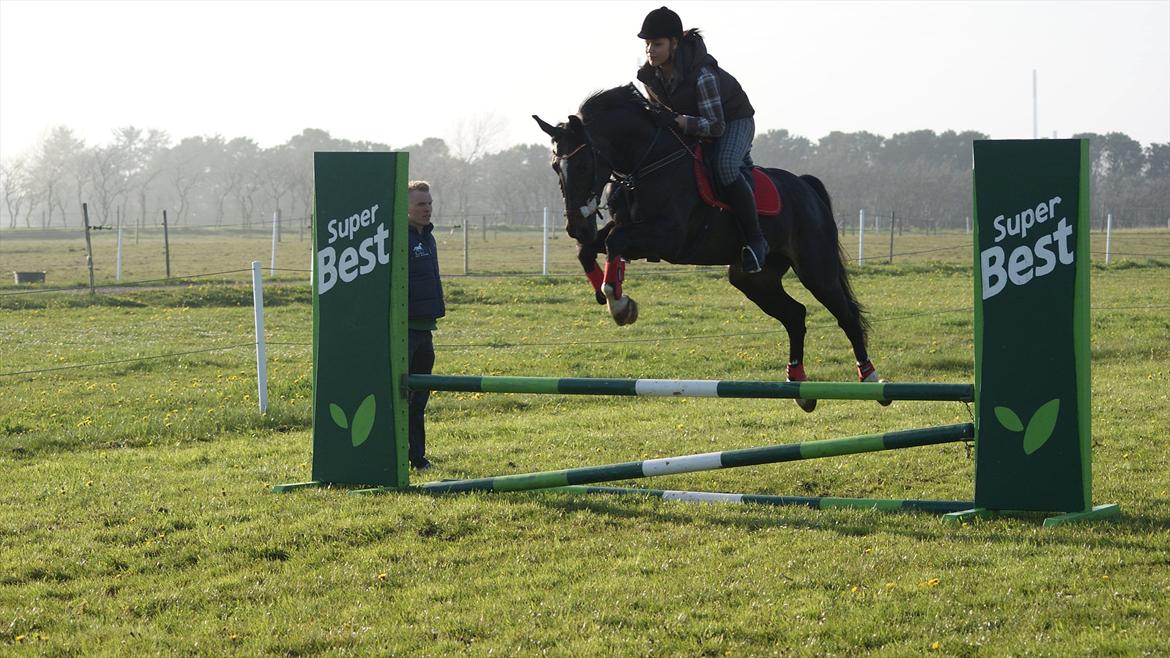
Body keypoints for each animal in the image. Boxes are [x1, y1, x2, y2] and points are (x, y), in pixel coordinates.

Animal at [535, 81, 879, 409]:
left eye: (582, 165)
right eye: (554, 167)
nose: (575, 227)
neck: (647, 163)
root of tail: (807, 188)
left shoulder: (666, 238)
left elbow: (613, 241)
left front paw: (619, 304)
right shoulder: (631, 232)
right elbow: (591, 249)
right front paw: (608, 294)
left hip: (815, 269)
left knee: (846, 315)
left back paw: (870, 378)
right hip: (752, 279)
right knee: (795, 315)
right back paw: (799, 385)